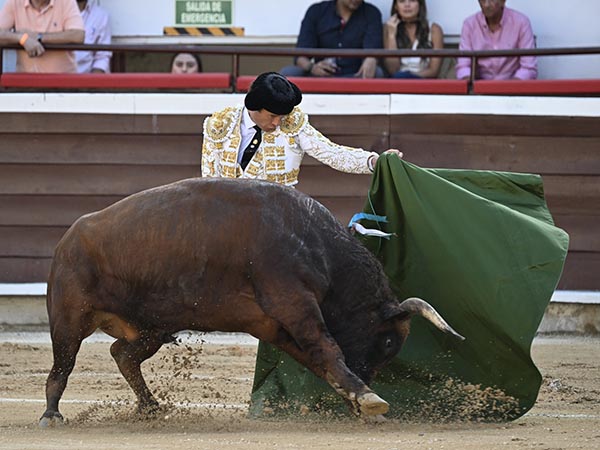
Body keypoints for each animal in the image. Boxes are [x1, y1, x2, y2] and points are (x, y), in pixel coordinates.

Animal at [39, 177, 464, 426]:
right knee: (63, 366)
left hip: (152, 328)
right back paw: (52, 414)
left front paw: (358, 398)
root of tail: (67, 239)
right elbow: (327, 348)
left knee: (123, 354)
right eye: (389, 341)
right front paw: (367, 398)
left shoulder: (274, 323)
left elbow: (316, 356)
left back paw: (150, 407)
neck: (317, 247)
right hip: (68, 318)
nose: (368, 376)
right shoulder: (294, 303)